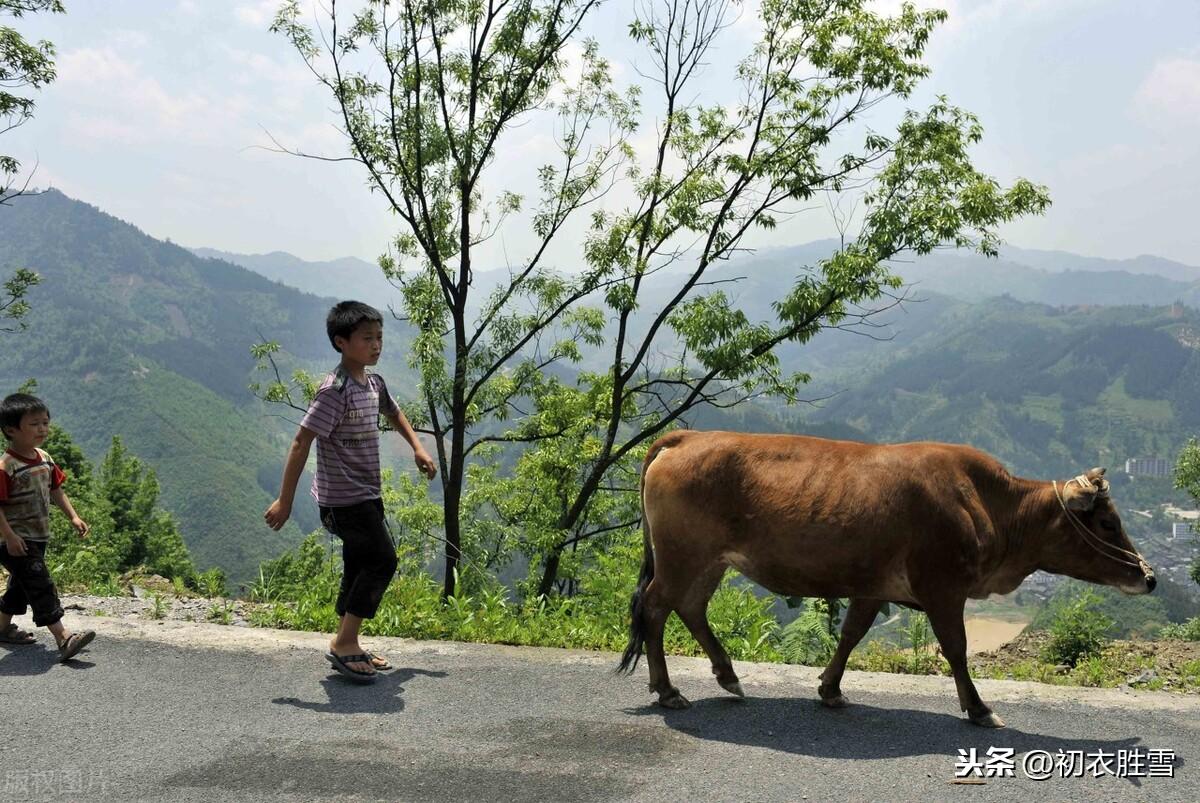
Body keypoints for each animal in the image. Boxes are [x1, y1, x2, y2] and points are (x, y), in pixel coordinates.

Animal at [619, 432, 1152, 724]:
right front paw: (979, 708)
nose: (1148, 578)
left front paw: (830, 690)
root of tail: (687, 436)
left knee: (689, 607)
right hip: (683, 556)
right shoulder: (943, 587)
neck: (988, 505)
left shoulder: (872, 587)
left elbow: (851, 635)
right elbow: (955, 649)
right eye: (1108, 523)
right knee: (656, 607)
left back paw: (728, 676)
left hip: (708, 562)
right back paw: (668, 690)